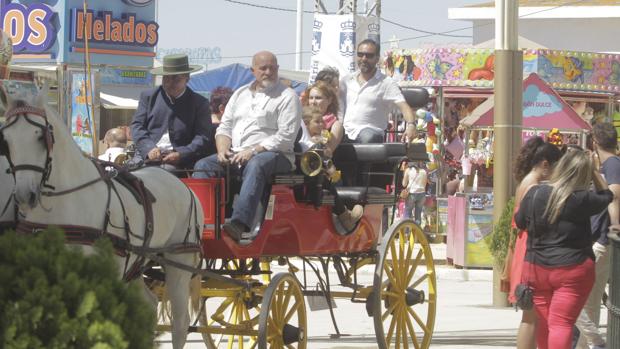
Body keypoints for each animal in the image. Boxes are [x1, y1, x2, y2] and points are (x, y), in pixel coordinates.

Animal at [0, 86, 203, 348]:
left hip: (179, 261)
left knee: (180, 322)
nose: (26, 195)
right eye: (6, 141)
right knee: (148, 306)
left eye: (40, 136)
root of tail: (185, 186)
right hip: (136, 263)